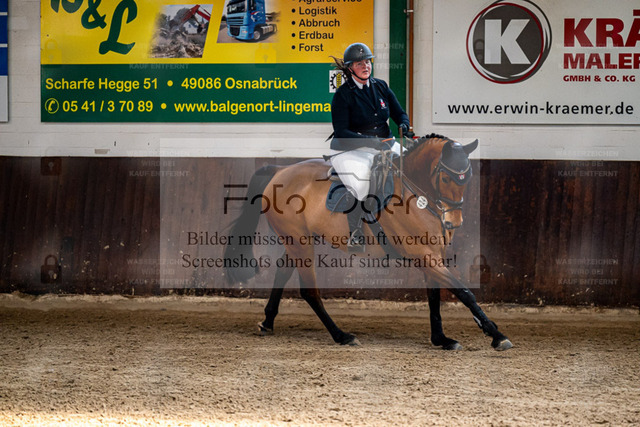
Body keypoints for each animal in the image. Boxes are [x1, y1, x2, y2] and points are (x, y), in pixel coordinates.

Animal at [224, 134, 513, 351]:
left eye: (468, 179)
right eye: (445, 178)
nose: (453, 222)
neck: (415, 193)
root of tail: (280, 170)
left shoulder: (433, 254)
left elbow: (435, 296)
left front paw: (441, 339)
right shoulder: (422, 253)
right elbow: (463, 290)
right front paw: (496, 335)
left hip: (297, 240)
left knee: (282, 275)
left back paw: (267, 322)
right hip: (300, 242)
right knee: (309, 291)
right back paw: (342, 336)